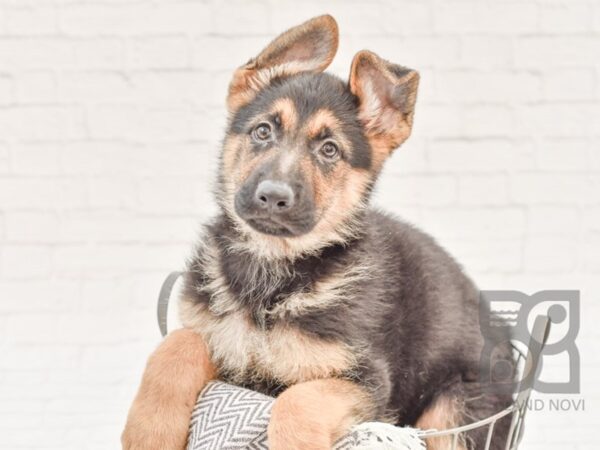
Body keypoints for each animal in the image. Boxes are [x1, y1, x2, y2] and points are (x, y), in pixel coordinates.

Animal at [123, 14, 516, 450]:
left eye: (329, 150)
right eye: (263, 131)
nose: (273, 196)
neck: (273, 272)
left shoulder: (367, 381)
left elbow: (299, 400)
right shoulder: (214, 338)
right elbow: (177, 344)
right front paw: (149, 431)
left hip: (455, 406)